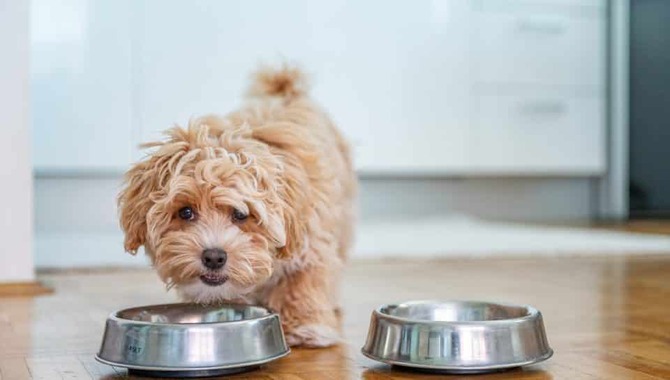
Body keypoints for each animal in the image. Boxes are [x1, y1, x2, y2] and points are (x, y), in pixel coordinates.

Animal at [117, 65, 356, 348]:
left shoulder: (310, 243)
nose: (214, 257)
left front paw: (304, 326)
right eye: (185, 212)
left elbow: (302, 282)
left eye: (241, 214)